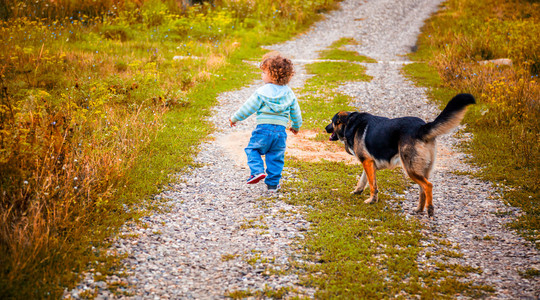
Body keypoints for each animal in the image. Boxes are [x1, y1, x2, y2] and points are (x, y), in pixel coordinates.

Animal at [322, 93, 474, 216]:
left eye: (332, 122)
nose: (325, 128)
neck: (350, 123)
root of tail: (421, 128)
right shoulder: (368, 163)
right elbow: (364, 180)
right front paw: (357, 192)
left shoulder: (367, 162)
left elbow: (372, 185)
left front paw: (371, 200)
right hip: (421, 169)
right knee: (422, 189)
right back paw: (419, 209)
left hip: (410, 169)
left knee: (428, 186)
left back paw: (430, 209)